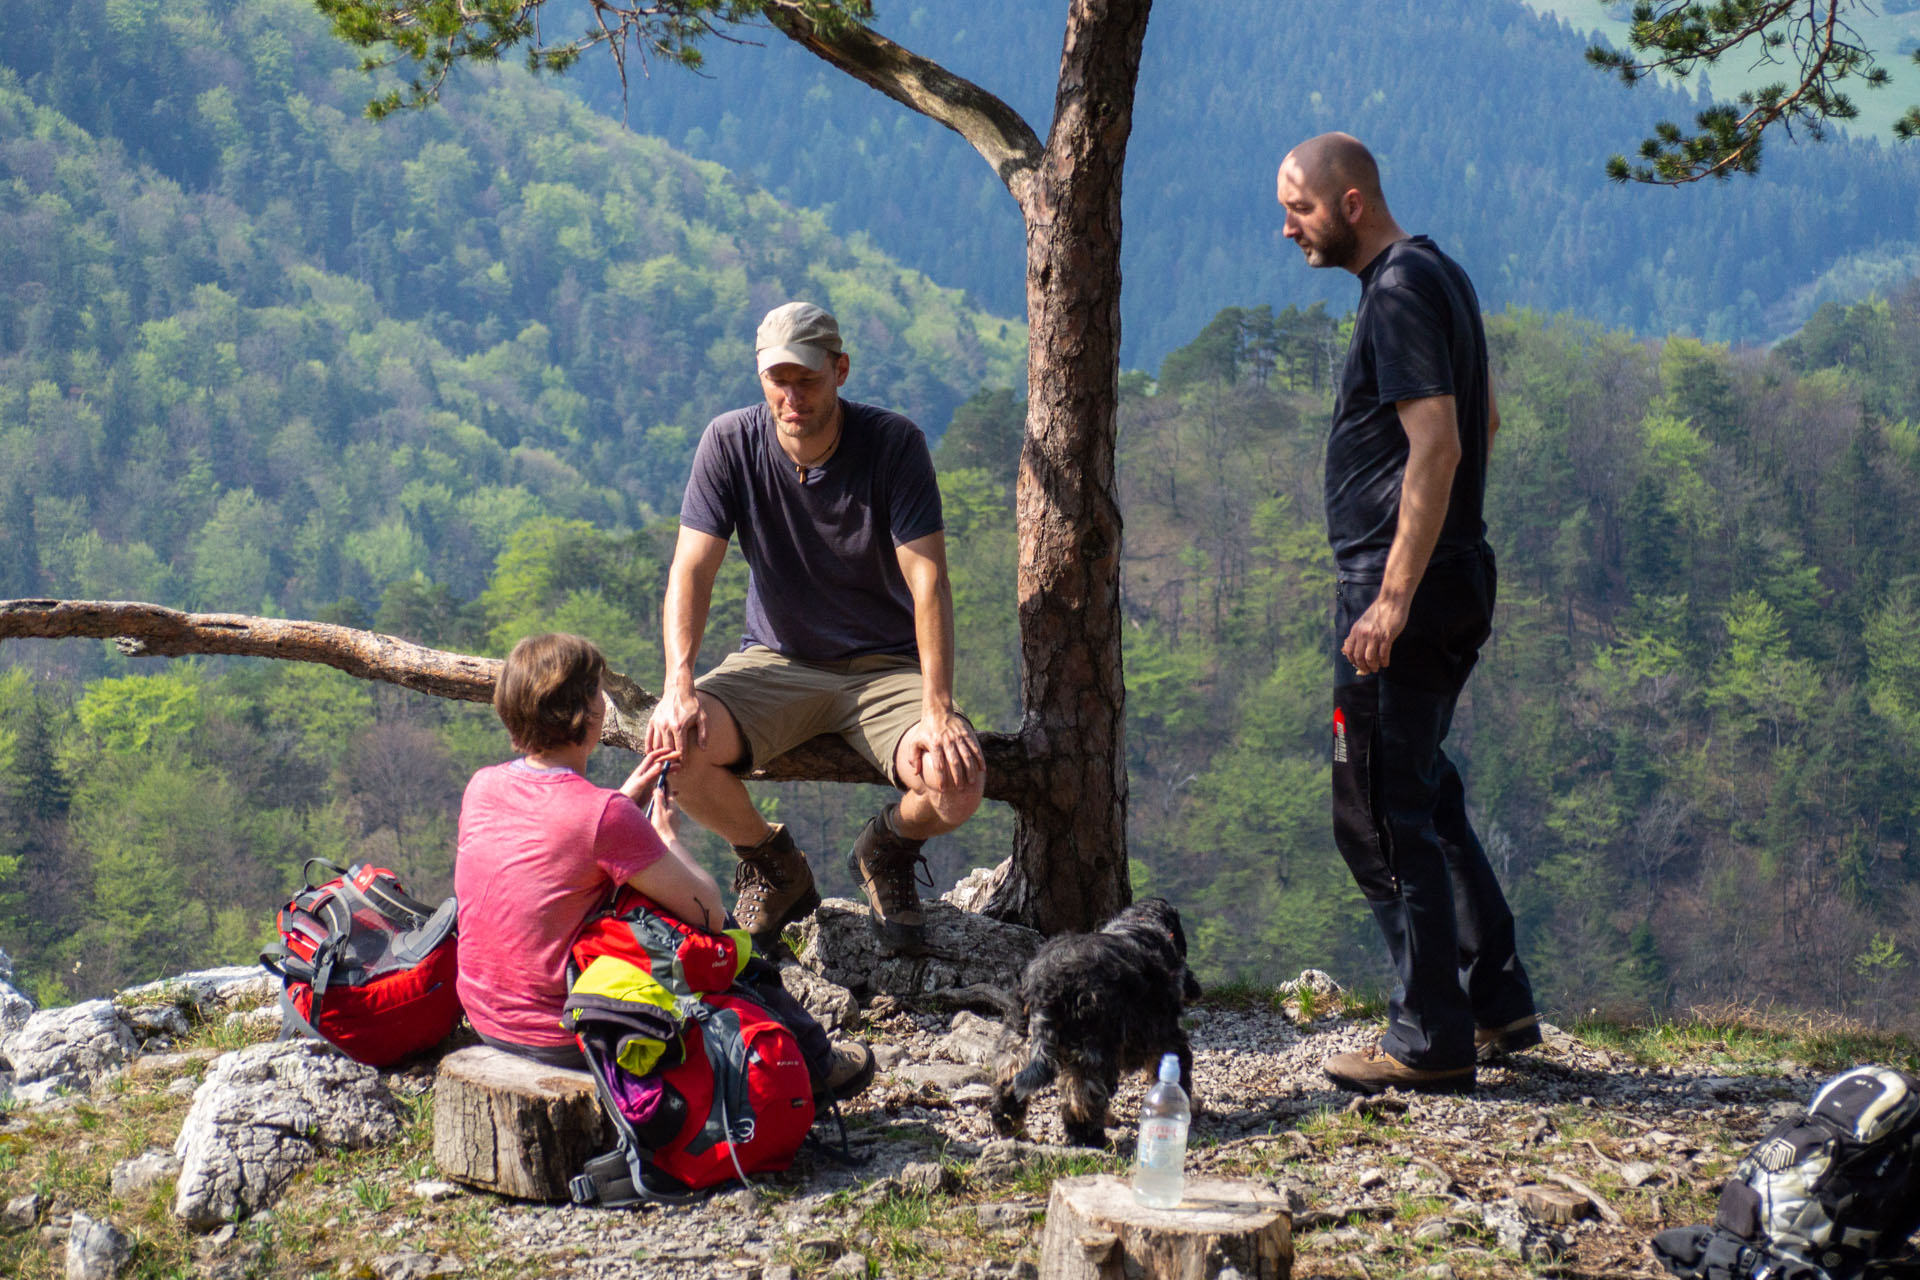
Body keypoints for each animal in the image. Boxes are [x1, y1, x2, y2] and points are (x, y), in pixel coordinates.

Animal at [990, 898, 1198, 1143]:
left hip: (1019, 1035)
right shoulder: (1165, 1035)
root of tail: (1047, 985)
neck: (1142, 923)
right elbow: (1180, 1072)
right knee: (1081, 1099)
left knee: (1008, 1079)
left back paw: (1010, 1128)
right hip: (1091, 1049)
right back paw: (1091, 1140)